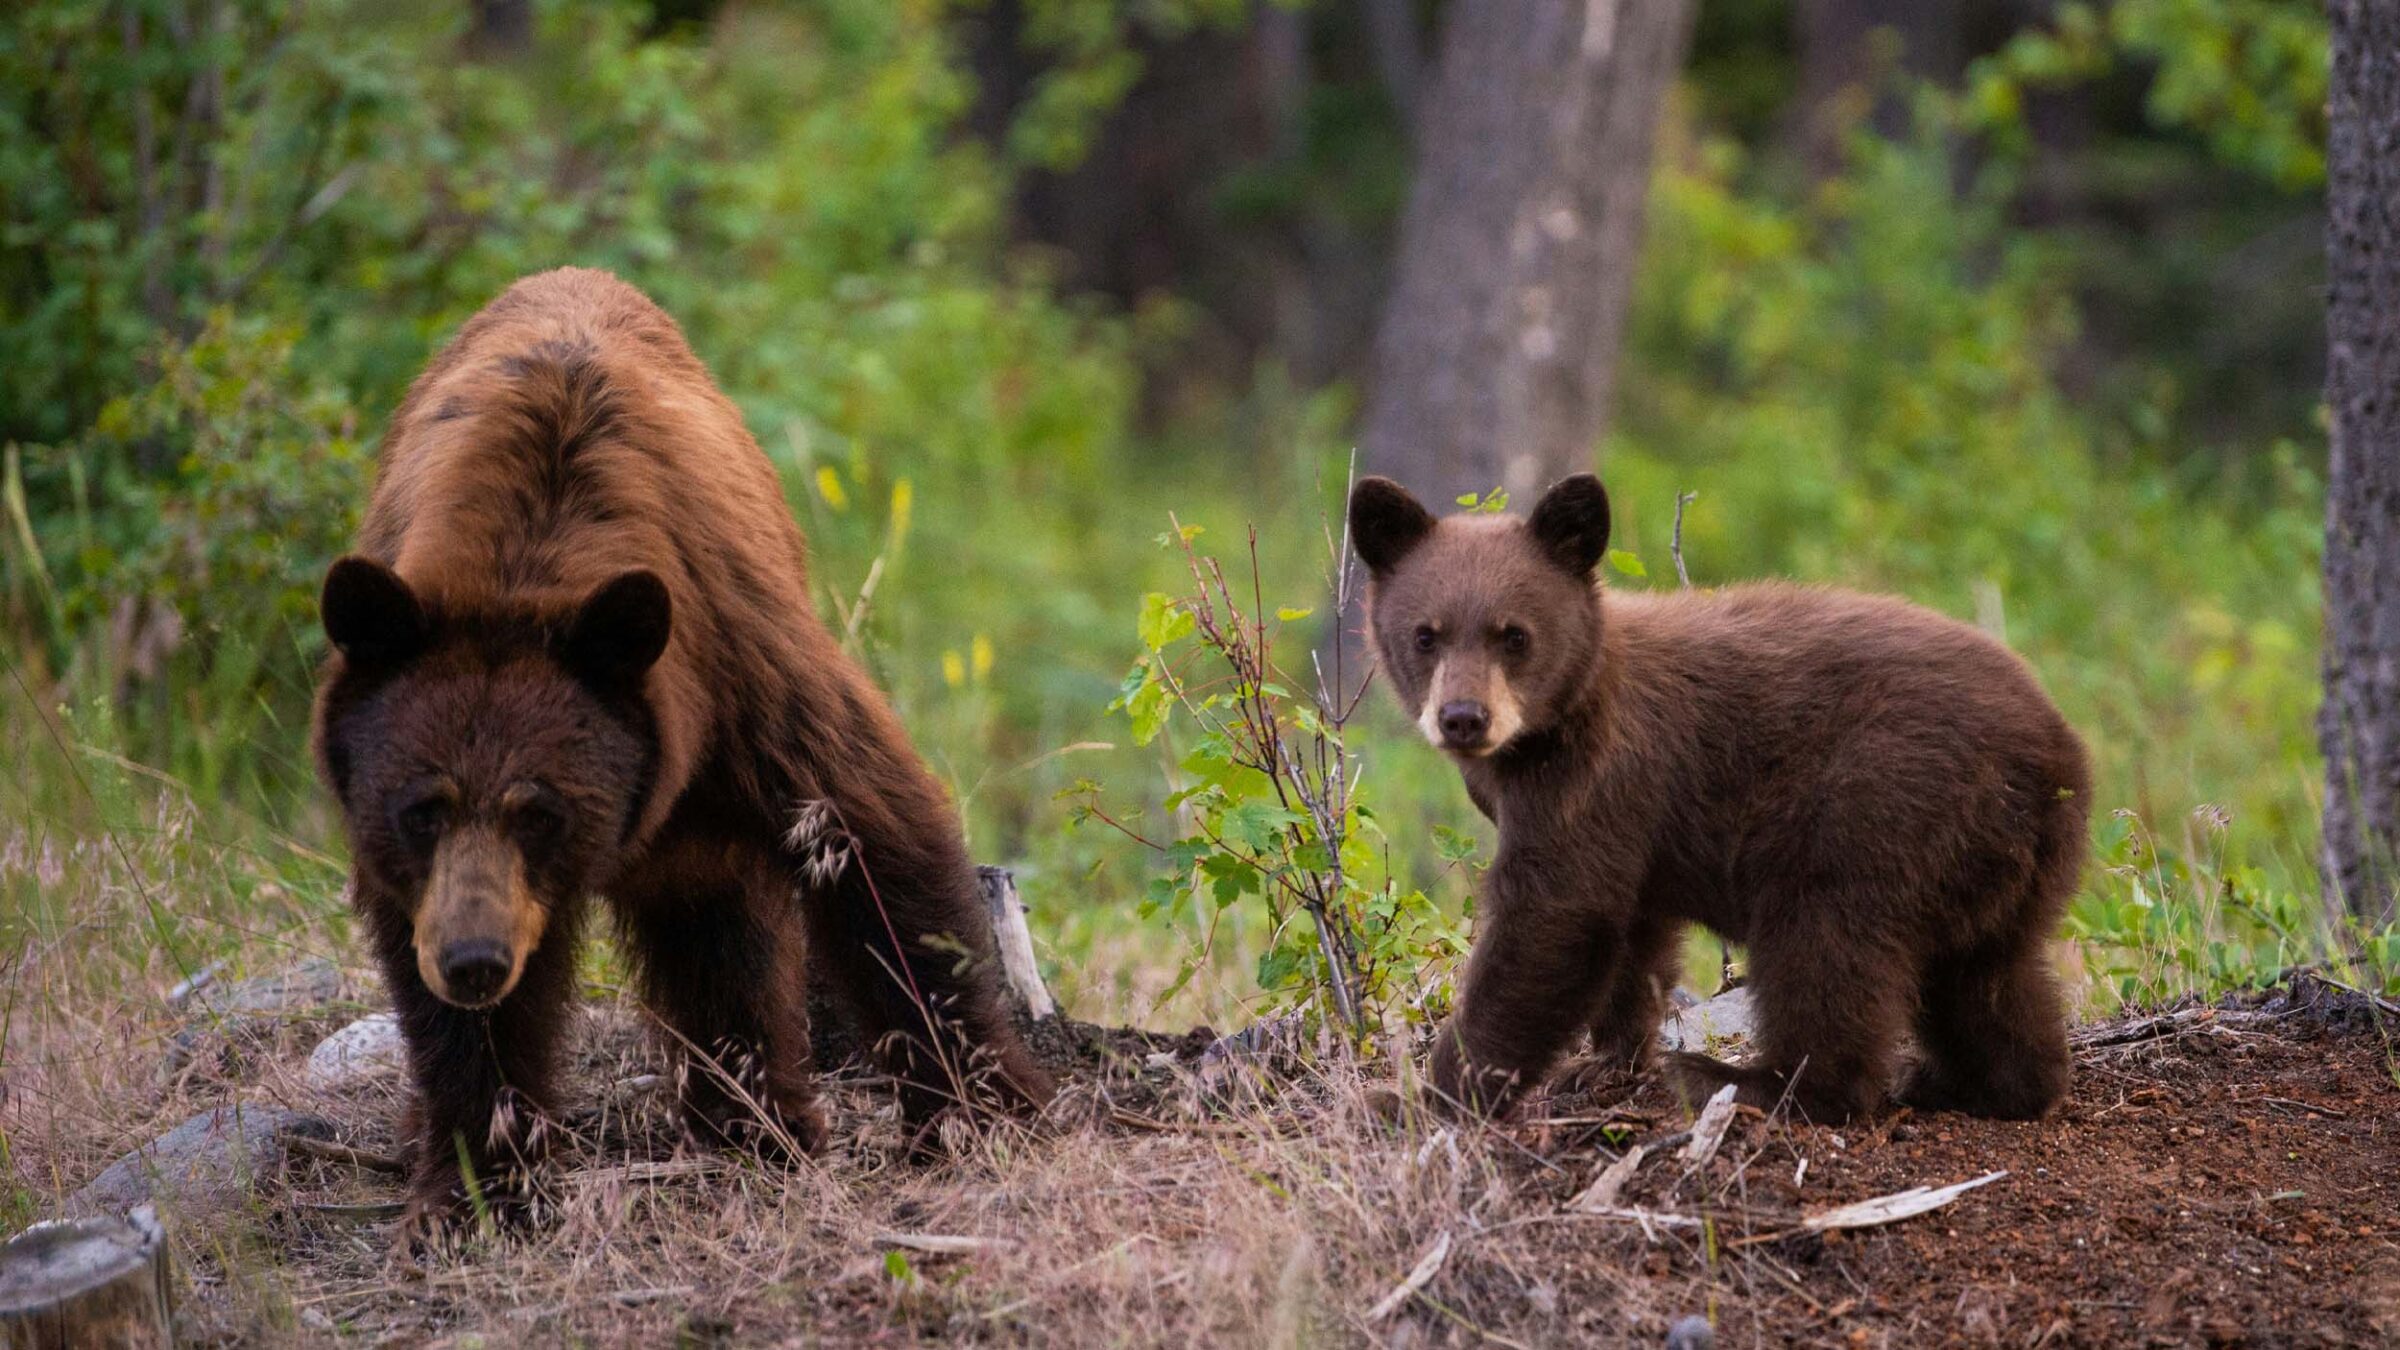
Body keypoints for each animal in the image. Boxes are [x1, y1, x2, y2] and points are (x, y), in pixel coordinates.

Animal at [312, 267, 1053, 1232]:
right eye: (421, 809)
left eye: (540, 810)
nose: (475, 962)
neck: (524, 560)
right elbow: (449, 1012)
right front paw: (480, 1184)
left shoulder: (742, 670)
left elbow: (874, 840)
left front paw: (982, 1112)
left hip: (704, 822)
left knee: (721, 940)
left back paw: (757, 1125)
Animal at [1348, 472, 2089, 1123]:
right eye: (1426, 634)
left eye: (1514, 635)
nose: (1463, 718)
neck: (1555, 722)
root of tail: (2057, 757)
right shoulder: (1628, 821)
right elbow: (1631, 933)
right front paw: (1605, 1062)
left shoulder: (1596, 777)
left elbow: (1552, 920)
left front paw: (1424, 1098)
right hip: (1995, 862)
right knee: (1988, 976)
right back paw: (1978, 1083)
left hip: (1879, 805)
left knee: (1825, 943)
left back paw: (1752, 1081)